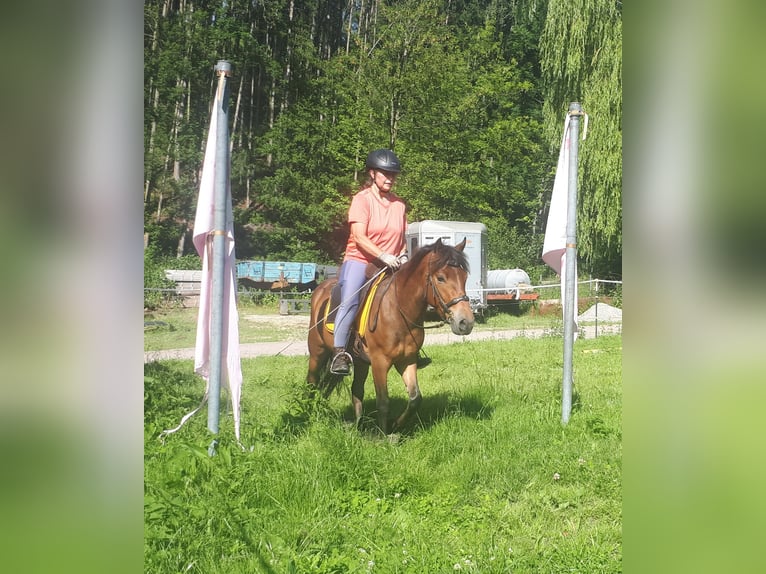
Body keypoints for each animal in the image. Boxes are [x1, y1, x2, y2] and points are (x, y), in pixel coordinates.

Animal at [306, 240, 474, 436]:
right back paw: (308, 415)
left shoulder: (407, 360)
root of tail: (320, 289)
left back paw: (358, 425)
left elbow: (415, 398)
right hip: (317, 353)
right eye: (441, 278)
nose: (466, 322)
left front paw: (395, 425)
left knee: (357, 390)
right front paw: (383, 434)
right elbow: (383, 401)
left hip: (360, 360)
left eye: (464, 277)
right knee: (311, 383)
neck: (398, 309)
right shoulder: (380, 362)